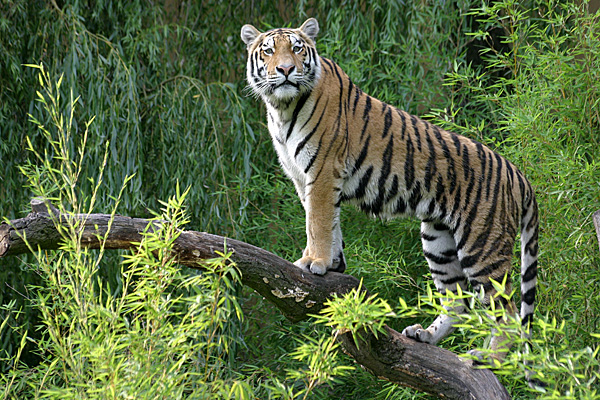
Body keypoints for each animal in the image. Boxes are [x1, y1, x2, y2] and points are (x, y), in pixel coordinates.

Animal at [240, 18, 540, 362]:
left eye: (297, 49)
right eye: (268, 51)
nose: (287, 69)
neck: (282, 107)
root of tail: (517, 173)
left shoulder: (322, 172)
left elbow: (317, 222)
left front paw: (314, 261)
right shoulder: (303, 179)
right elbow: (326, 223)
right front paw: (332, 263)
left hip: (482, 243)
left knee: (507, 311)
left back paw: (489, 360)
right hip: (437, 240)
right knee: (458, 301)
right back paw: (425, 335)